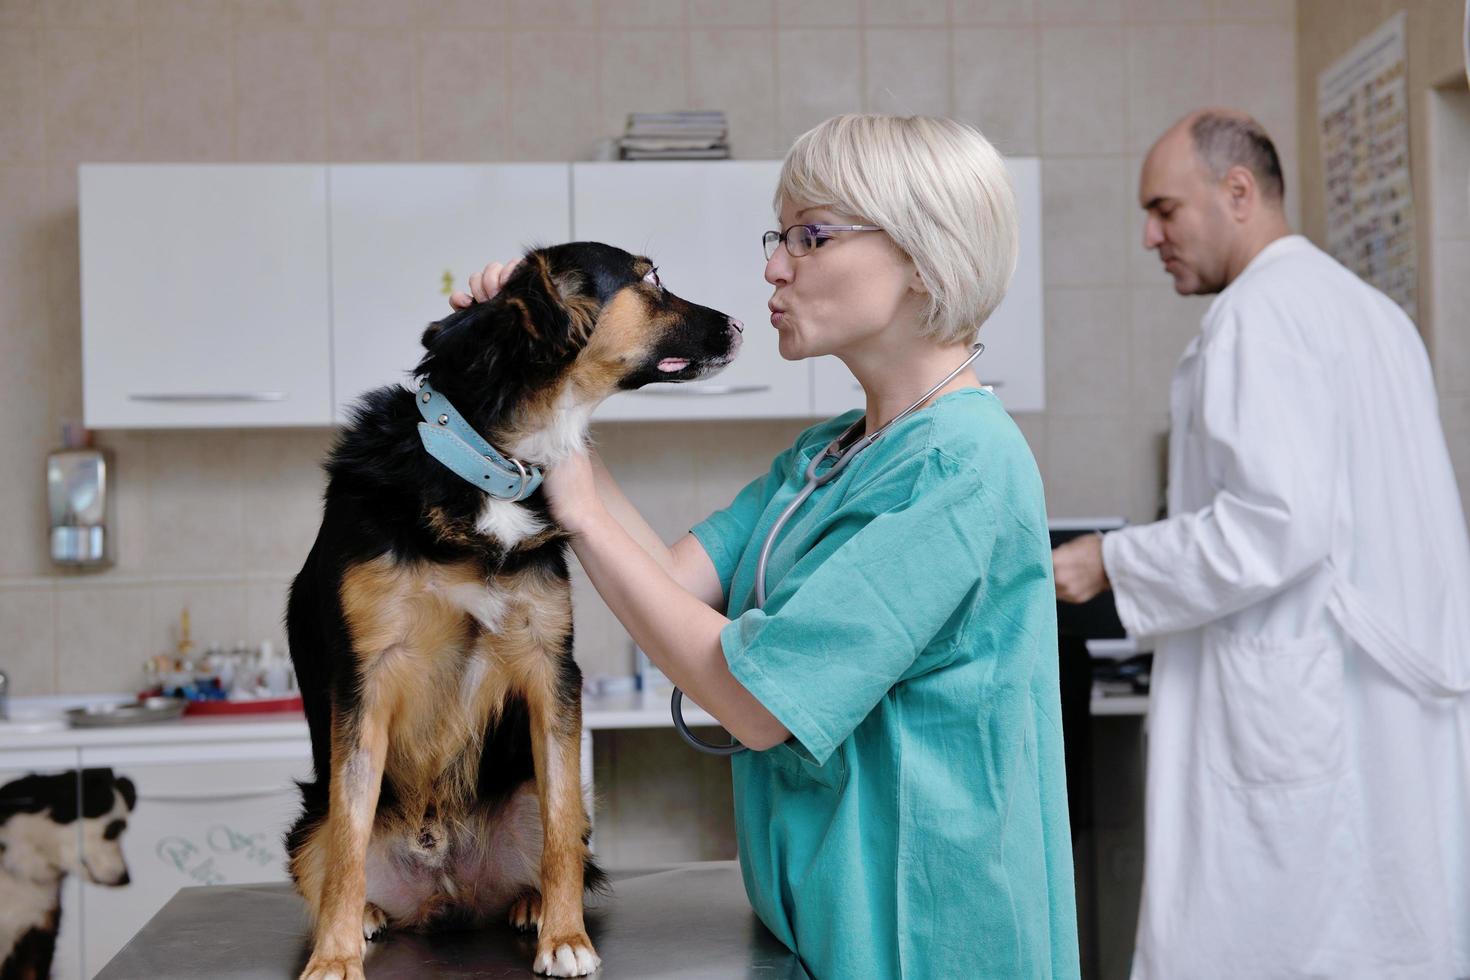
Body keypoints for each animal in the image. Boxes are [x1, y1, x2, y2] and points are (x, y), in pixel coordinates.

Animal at [283, 240, 746, 975]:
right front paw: (332, 957)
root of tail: (443, 885)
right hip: (309, 821)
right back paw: (367, 917)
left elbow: (559, 829)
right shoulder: (364, 679)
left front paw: (565, 937)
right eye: (650, 279)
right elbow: (350, 840)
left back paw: (530, 904)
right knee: (336, 849)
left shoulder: (551, 669)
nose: (740, 325)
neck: (487, 464)